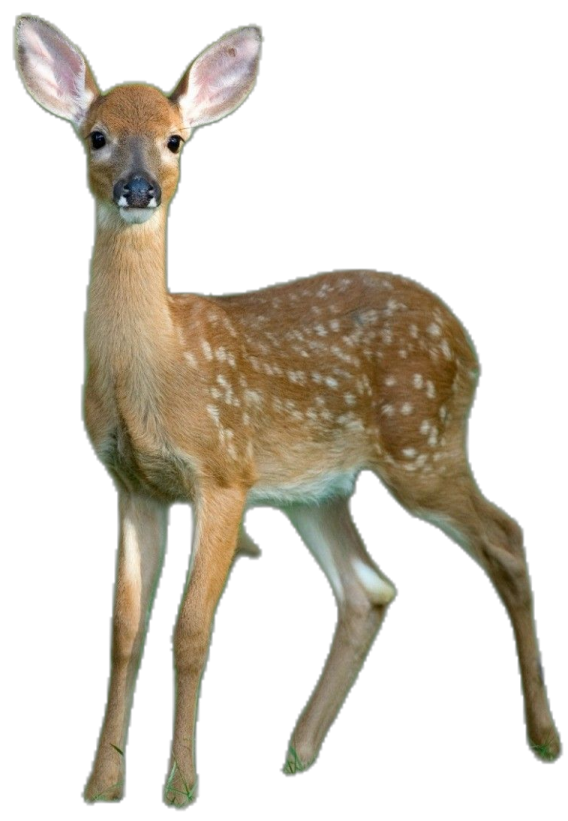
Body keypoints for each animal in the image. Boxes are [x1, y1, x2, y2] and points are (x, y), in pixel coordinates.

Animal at [15, 14, 561, 808]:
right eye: (97, 136)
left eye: (175, 140)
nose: (138, 189)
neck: (157, 367)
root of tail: (465, 340)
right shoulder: (133, 486)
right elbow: (124, 629)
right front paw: (101, 784)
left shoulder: (222, 471)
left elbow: (190, 630)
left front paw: (181, 785)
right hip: (317, 489)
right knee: (368, 587)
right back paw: (298, 750)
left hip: (421, 442)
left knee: (505, 537)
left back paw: (544, 736)